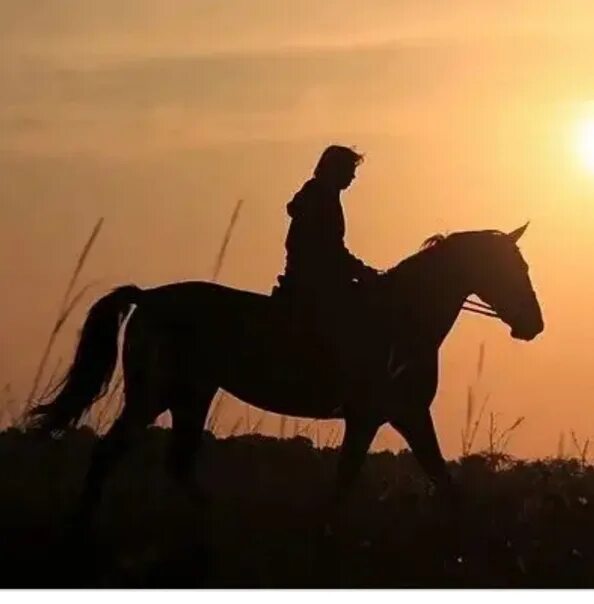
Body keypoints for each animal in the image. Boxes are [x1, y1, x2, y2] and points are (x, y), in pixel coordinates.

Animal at [27, 224, 540, 528]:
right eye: (510, 267)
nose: (534, 325)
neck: (402, 315)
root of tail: (148, 296)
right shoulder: (378, 415)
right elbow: (353, 478)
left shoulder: (403, 415)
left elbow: (438, 476)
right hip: (155, 393)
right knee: (111, 452)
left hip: (190, 394)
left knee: (175, 462)